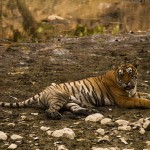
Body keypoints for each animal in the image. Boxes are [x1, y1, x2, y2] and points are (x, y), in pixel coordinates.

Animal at [0, 63, 149, 119]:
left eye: (130, 73)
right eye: (122, 75)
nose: (127, 83)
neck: (132, 88)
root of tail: (42, 91)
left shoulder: (134, 93)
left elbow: (145, 94)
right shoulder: (124, 99)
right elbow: (141, 101)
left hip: (69, 102)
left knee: (75, 109)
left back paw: (89, 111)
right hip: (60, 98)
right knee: (49, 110)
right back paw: (55, 115)